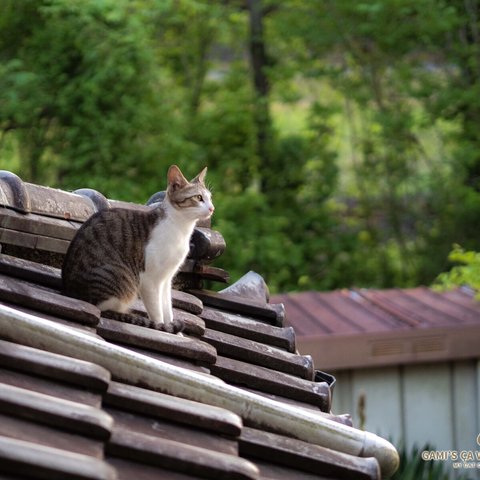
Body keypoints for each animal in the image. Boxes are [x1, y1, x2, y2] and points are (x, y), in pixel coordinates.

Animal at [62, 165, 214, 334]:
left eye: (210, 198)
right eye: (199, 197)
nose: (212, 208)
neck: (181, 229)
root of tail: (71, 292)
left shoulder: (166, 279)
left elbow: (167, 309)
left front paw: (173, 330)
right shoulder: (149, 279)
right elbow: (157, 311)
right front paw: (161, 327)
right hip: (120, 278)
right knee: (108, 309)